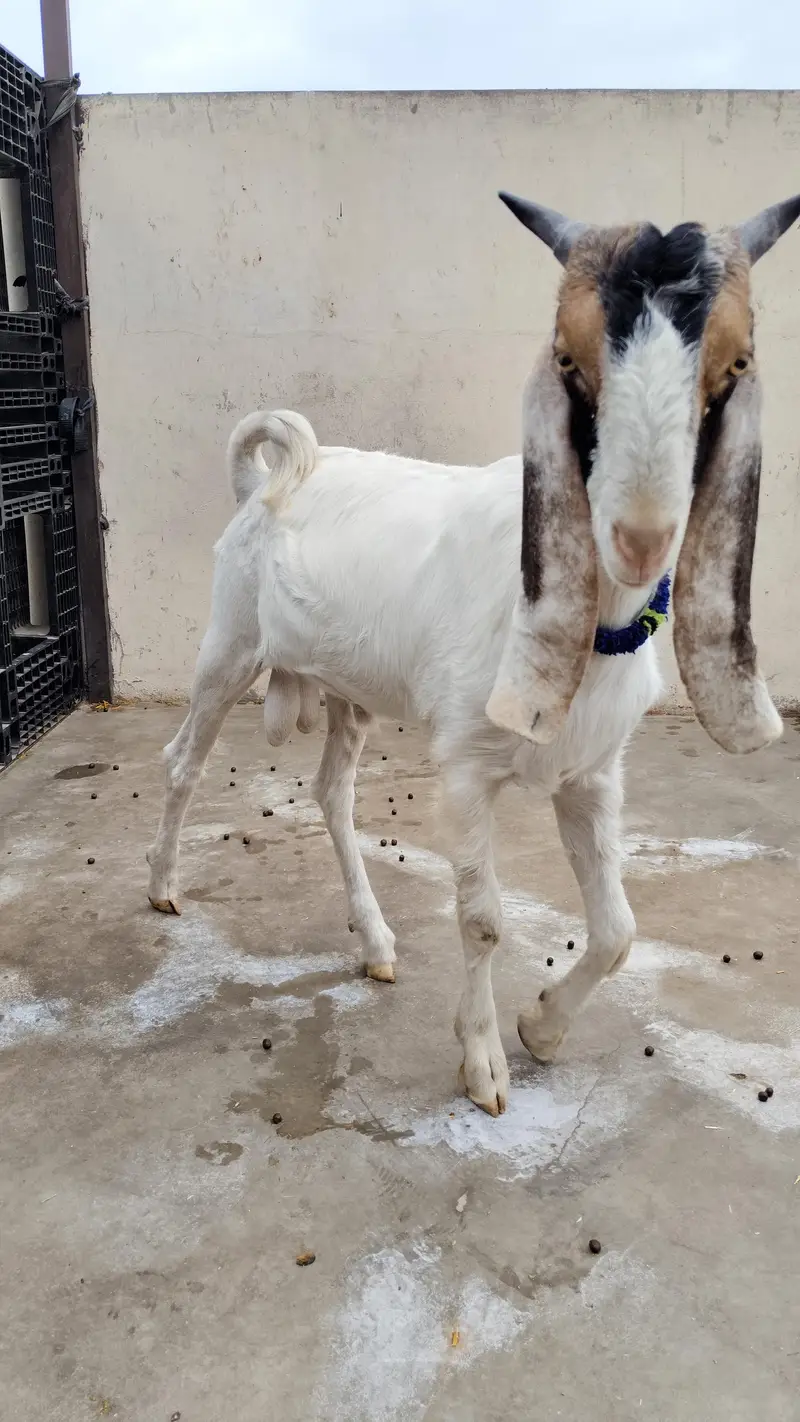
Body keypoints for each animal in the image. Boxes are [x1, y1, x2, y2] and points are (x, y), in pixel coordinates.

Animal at [147, 193, 799, 1116]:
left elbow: (620, 930)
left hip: (349, 690)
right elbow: (484, 919)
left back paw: (377, 943)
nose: (640, 535)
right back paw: (163, 886)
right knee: (182, 761)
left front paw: (542, 1028)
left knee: (332, 794)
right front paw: (485, 1064)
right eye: (568, 357)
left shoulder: (591, 774)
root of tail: (262, 483)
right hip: (230, 643)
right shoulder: (464, 762)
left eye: (733, 363)